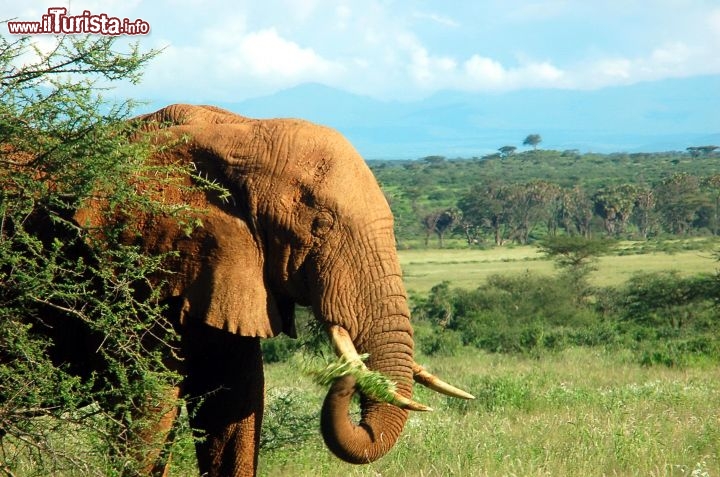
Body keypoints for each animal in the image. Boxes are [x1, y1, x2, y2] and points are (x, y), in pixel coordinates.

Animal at [67, 105, 476, 476]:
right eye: (320, 225)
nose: (348, 370)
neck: (237, 131)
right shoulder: (139, 272)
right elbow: (148, 405)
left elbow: (235, 402)